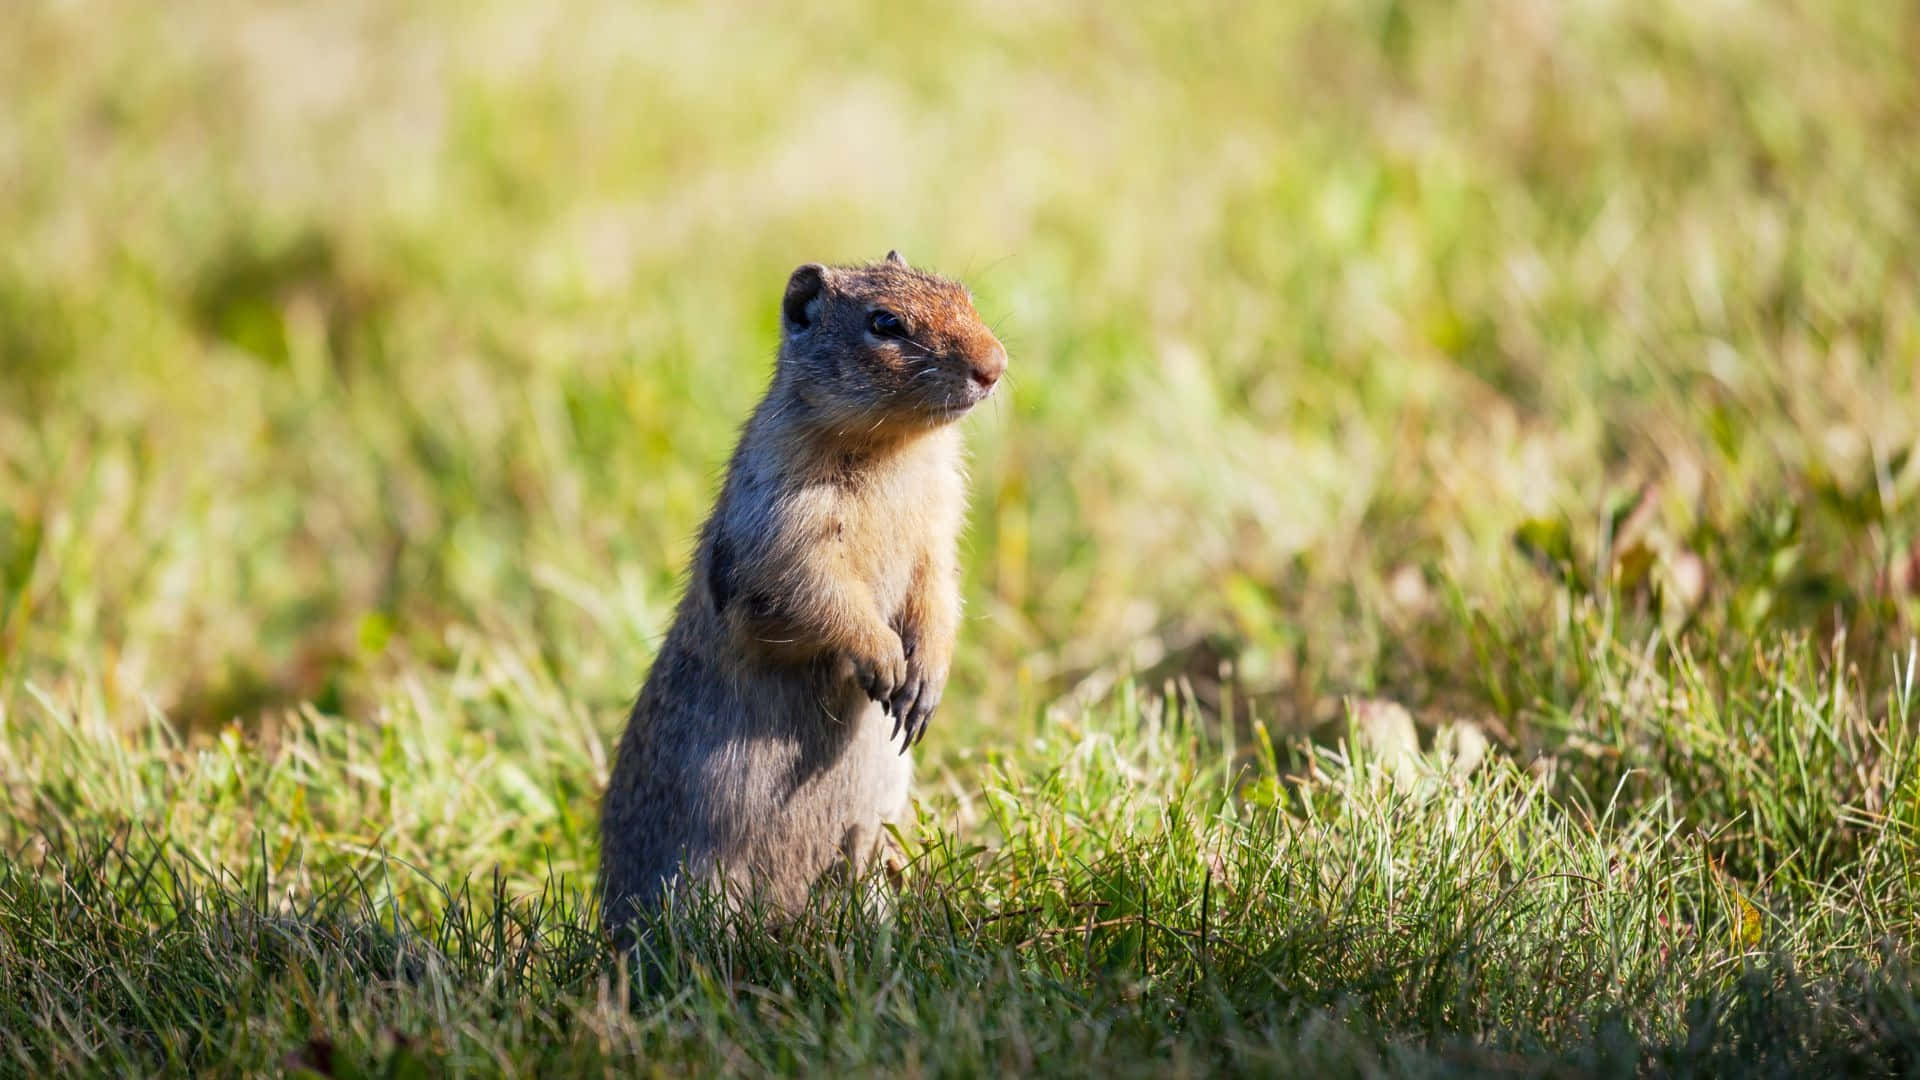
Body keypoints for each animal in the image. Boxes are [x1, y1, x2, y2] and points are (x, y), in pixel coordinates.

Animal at [602, 249, 1013, 926]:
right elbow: (817, 593)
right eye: (885, 323)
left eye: (965, 294)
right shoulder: (786, 531)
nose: (994, 365)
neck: (894, 451)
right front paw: (884, 661)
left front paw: (924, 685)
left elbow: (938, 594)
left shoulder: (938, 532)